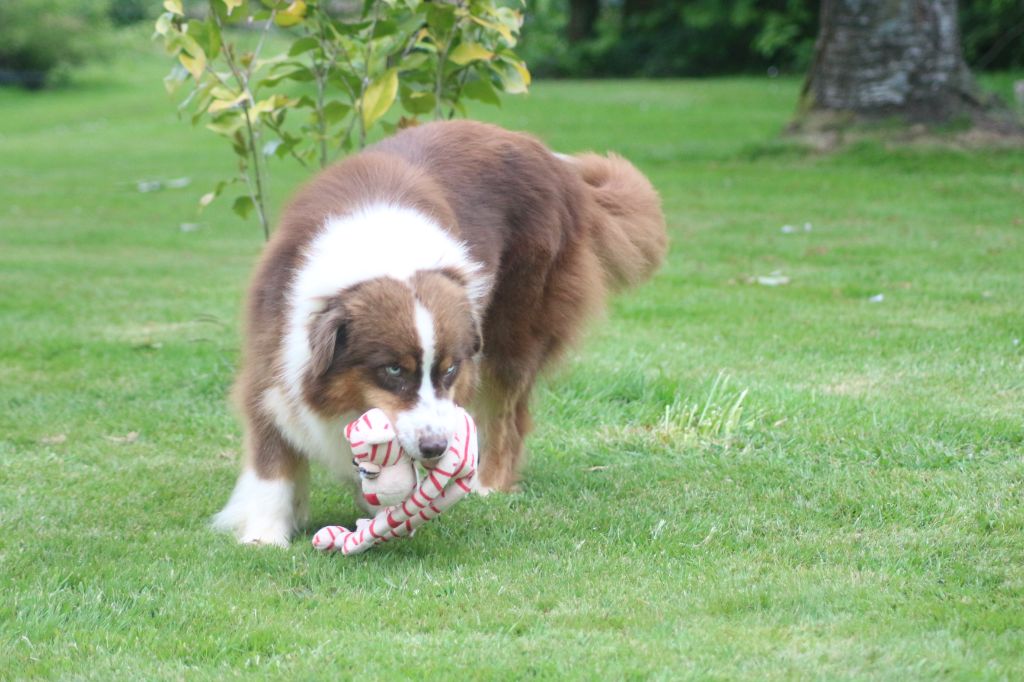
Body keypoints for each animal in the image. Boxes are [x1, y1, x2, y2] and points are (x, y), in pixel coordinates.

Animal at [211, 119, 667, 544]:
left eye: (448, 370)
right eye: (393, 370)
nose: (435, 448)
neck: (384, 250)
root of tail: (555, 163)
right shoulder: (273, 347)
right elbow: (271, 453)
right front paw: (264, 535)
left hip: (515, 326)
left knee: (506, 413)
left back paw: (489, 484)